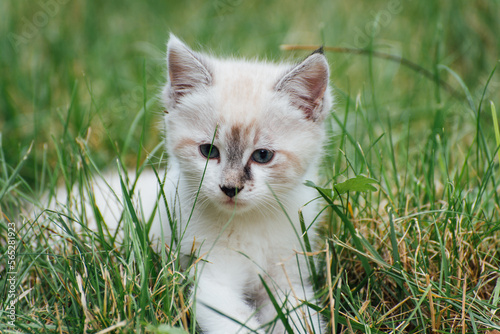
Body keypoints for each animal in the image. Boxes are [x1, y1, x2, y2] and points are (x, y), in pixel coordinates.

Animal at [154, 34, 334, 334]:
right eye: (208, 151)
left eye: (262, 156)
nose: (230, 188)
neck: (251, 224)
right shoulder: (213, 279)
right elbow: (236, 322)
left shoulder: (289, 280)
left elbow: (300, 319)